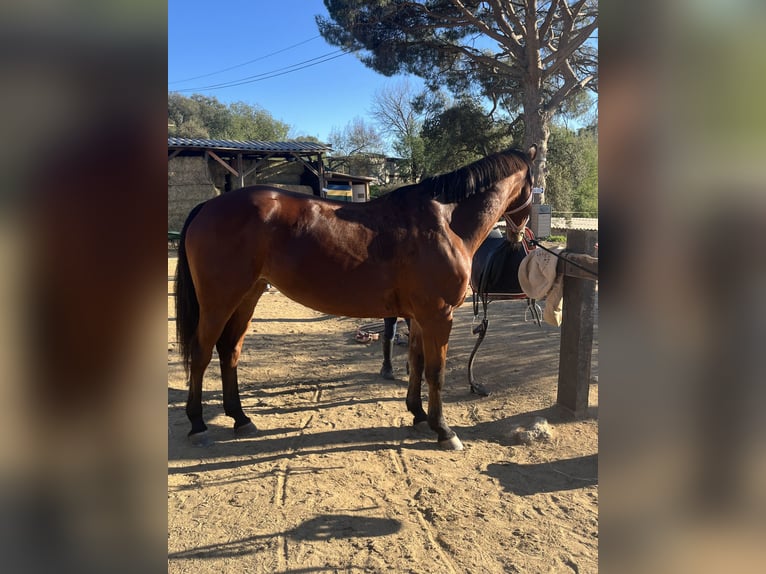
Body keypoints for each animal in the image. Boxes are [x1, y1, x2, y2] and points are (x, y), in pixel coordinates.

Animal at [174, 145, 537, 450]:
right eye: (535, 185)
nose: (519, 236)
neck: (444, 222)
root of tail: (208, 205)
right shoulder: (438, 315)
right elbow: (436, 371)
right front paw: (443, 430)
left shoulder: (418, 317)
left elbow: (417, 363)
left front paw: (418, 415)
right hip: (219, 301)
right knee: (202, 352)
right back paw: (198, 424)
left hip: (246, 297)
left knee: (229, 351)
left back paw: (240, 418)